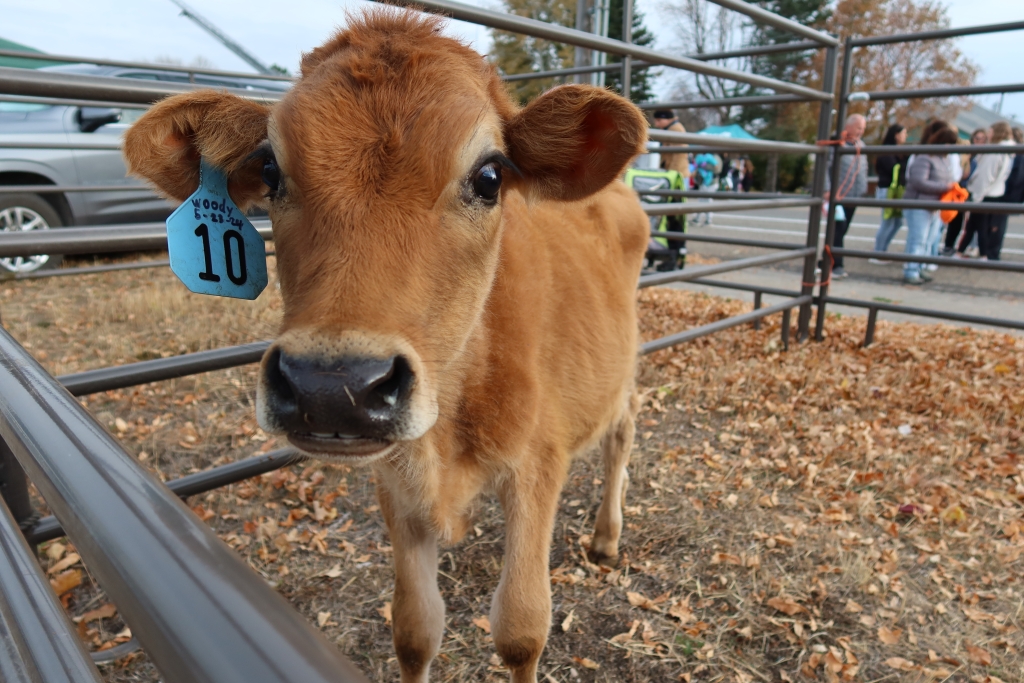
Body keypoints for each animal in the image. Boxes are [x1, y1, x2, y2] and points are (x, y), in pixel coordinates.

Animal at [121, 12, 647, 683]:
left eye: (490, 176)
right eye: (270, 171)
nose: (331, 387)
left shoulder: (538, 465)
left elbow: (522, 627)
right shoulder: (395, 485)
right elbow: (416, 627)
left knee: (623, 428)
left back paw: (606, 536)